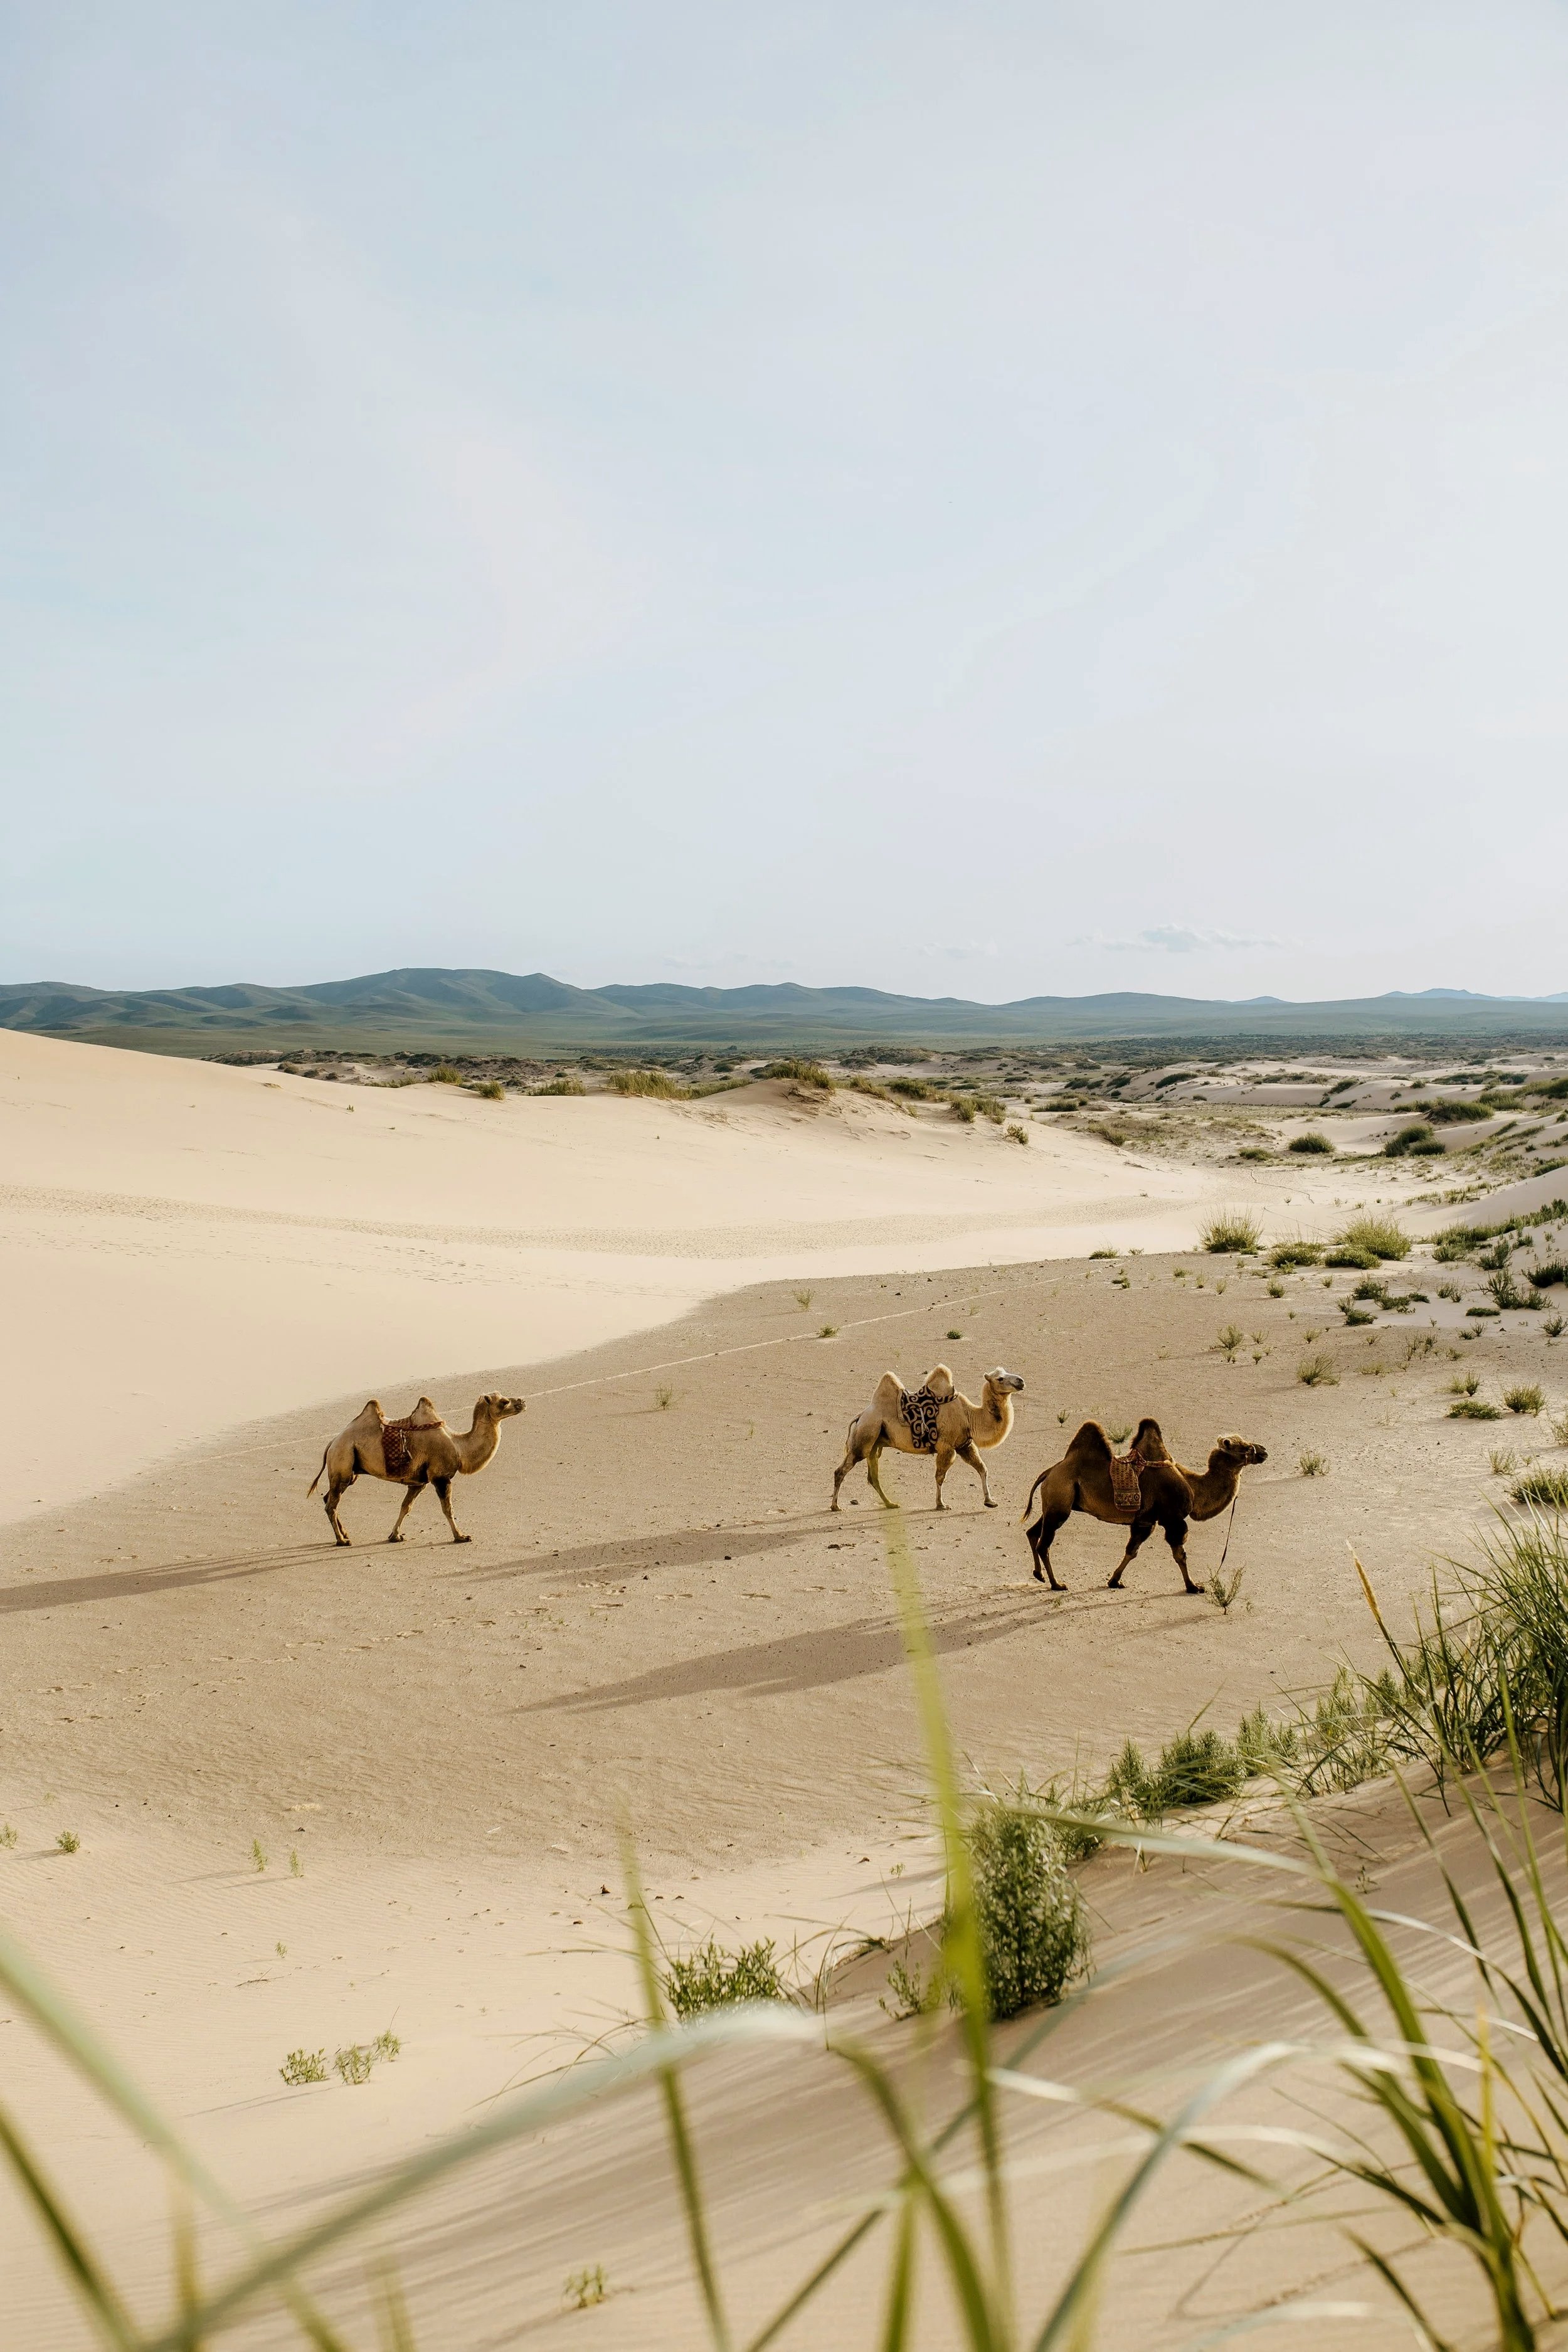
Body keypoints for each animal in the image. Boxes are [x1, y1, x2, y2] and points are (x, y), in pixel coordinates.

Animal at [307, 1393, 524, 1546]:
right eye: (504, 1402)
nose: (522, 1401)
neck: (459, 1448)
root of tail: (332, 1443)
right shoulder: (441, 1477)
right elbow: (448, 1509)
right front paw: (461, 1536)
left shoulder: (419, 1482)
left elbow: (406, 1507)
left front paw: (395, 1536)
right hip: (343, 1460)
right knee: (331, 1504)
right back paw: (342, 1541)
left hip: (349, 1470)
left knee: (329, 1498)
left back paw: (345, 1534)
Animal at [831, 1364, 1025, 1512]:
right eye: (1000, 1379)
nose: (1021, 1381)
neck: (970, 1416)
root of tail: (860, 1416)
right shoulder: (947, 1447)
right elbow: (940, 1477)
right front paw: (941, 1505)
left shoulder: (965, 1445)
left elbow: (982, 1469)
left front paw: (990, 1501)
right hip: (865, 1436)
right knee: (841, 1471)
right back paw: (835, 1506)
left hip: (874, 1444)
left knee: (873, 1478)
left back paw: (891, 1504)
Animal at [1020, 1419, 1267, 1594]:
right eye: (1245, 1447)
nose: (1263, 1451)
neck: (1193, 1486)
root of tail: (1050, 1472)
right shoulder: (1173, 1519)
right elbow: (1180, 1554)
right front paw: (1193, 1587)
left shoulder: (1146, 1520)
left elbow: (1132, 1550)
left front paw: (1114, 1581)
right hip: (1060, 1502)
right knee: (1044, 1544)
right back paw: (1057, 1584)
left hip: (1056, 1504)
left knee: (1033, 1532)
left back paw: (1039, 1575)